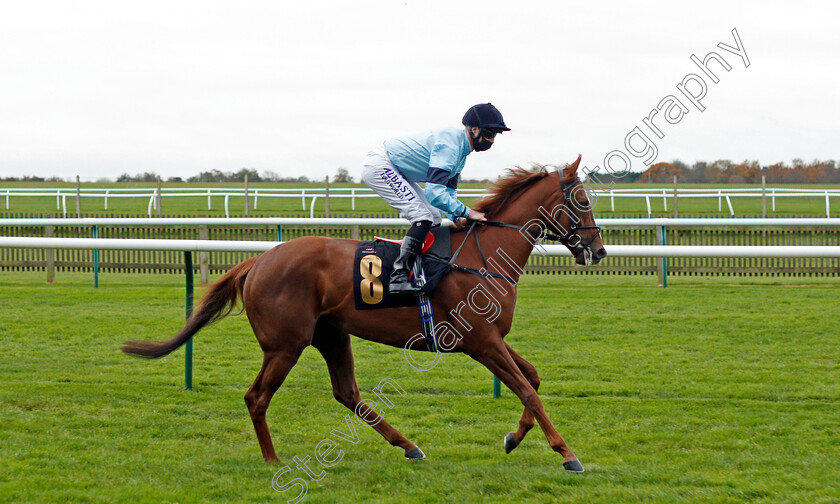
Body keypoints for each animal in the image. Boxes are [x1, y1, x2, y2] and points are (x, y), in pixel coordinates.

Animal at [123, 156, 604, 474]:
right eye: (582, 200)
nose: (598, 251)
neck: (482, 255)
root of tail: (258, 260)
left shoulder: (491, 340)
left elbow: (532, 380)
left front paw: (512, 438)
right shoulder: (481, 343)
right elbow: (528, 391)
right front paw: (568, 454)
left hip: (331, 335)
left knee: (347, 392)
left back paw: (409, 446)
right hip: (286, 344)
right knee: (257, 397)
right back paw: (272, 458)